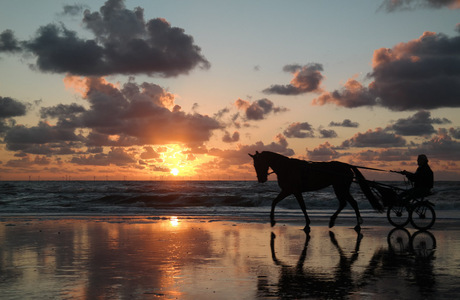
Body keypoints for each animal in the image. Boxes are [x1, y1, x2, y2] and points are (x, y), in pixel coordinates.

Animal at [250, 150, 382, 232]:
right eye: (255, 165)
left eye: (258, 163)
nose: (261, 179)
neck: (286, 167)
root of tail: (346, 165)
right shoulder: (288, 191)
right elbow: (274, 202)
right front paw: (272, 221)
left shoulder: (293, 190)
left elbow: (302, 206)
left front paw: (307, 224)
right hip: (340, 188)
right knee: (349, 203)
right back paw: (347, 223)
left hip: (340, 188)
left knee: (348, 203)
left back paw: (350, 223)